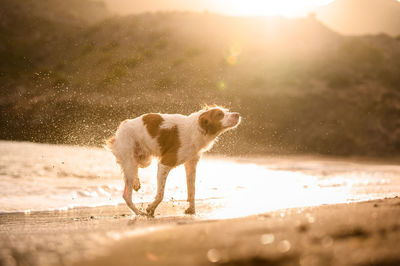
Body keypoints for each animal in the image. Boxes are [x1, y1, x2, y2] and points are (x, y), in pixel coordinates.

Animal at [104, 106, 241, 216]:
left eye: (226, 111)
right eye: (219, 114)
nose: (237, 114)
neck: (197, 129)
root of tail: (122, 125)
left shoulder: (191, 164)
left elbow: (192, 190)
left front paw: (191, 210)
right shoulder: (165, 163)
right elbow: (161, 194)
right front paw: (150, 208)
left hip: (142, 160)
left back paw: (136, 185)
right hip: (130, 160)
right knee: (126, 195)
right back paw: (139, 213)